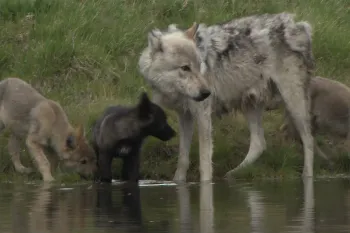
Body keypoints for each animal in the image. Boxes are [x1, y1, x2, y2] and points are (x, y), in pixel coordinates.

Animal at [138, 11, 316, 181]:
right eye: (185, 68)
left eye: (200, 65)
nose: (206, 93)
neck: (175, 92)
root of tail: (298, 25)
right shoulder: (184, 116)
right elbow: (183, 159)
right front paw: (178, 182)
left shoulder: (203, 116)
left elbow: (205, 162)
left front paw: (206, 185)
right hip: (250, 105)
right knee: (259, 143)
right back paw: (232, 174)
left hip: (293, 103)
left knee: (308, 140)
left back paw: (307, 177)